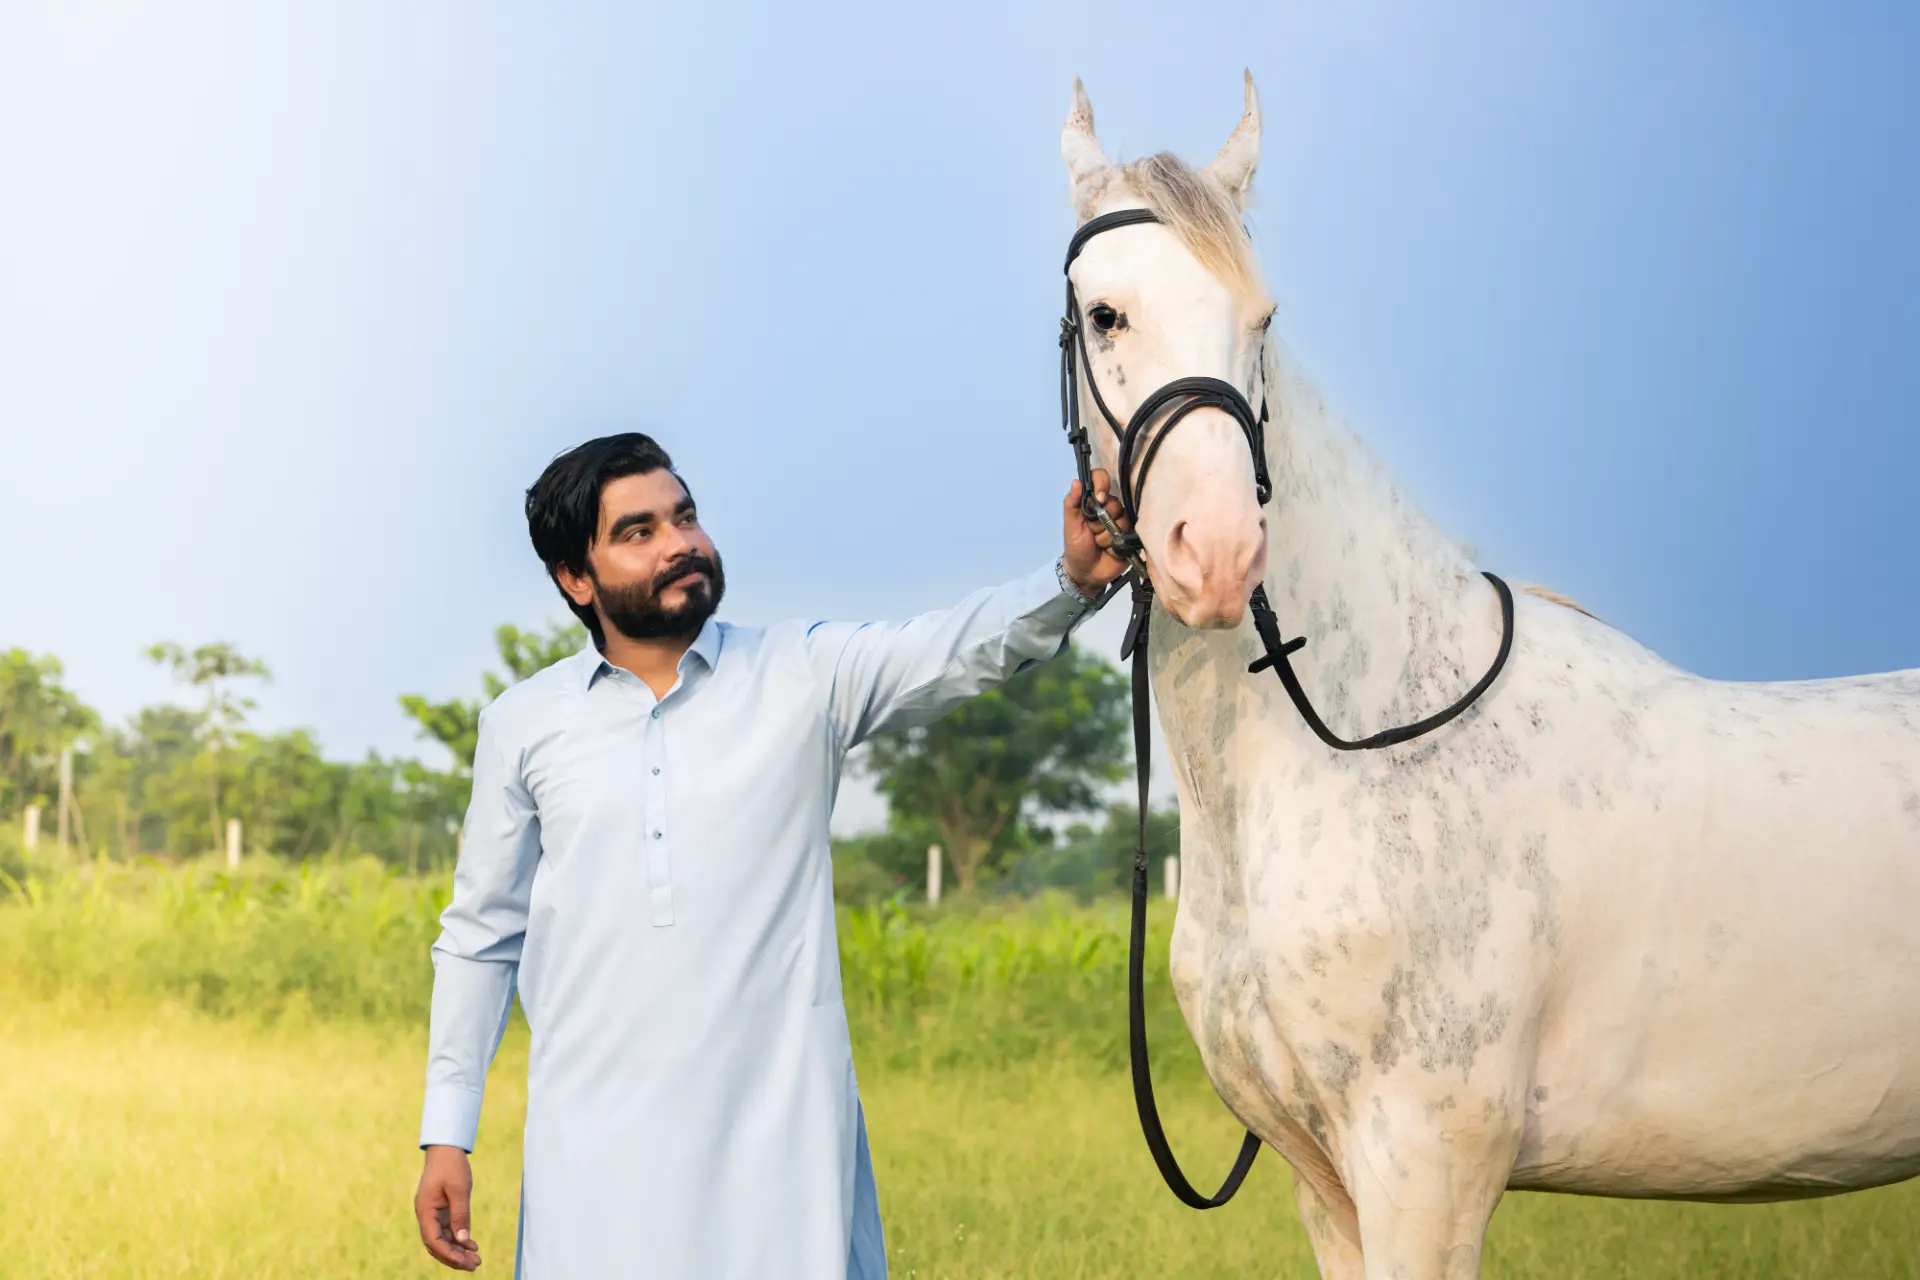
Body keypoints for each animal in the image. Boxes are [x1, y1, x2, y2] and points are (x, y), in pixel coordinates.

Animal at [1057, 73, 1920, 1279]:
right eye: (1106, 313)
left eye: (1263, 322)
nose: (1218, 551)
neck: (1364, 743)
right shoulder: (1328, 1189)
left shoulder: (1426, 1167)